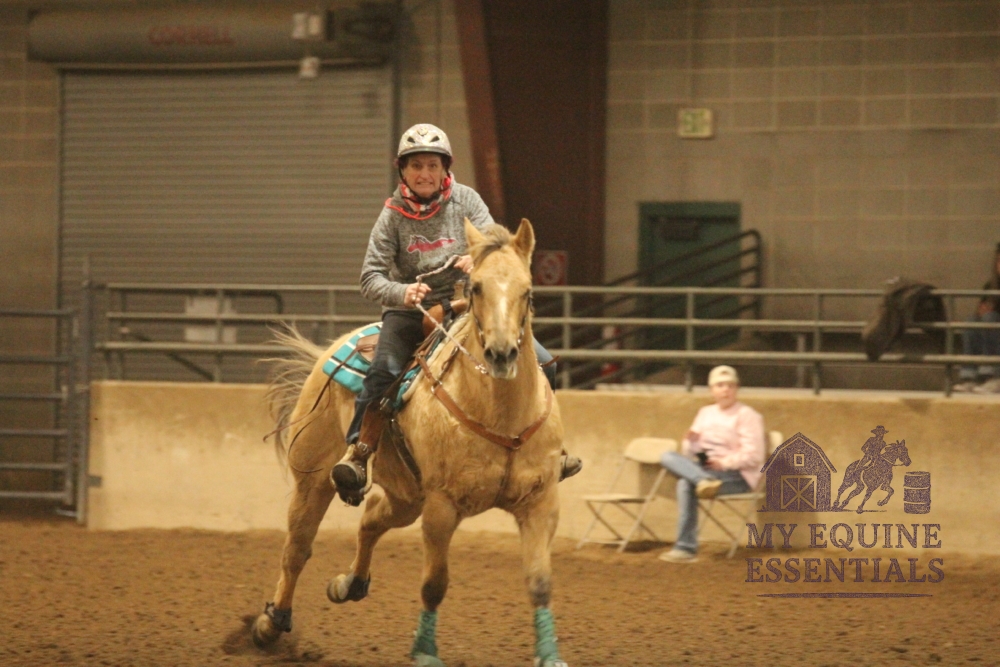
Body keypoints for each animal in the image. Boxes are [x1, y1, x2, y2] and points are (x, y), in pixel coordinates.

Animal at [251, 219, 569, 667]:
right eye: (476, 288)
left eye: (527, 290)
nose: (501, 354)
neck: (501, 415)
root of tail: (330, 350)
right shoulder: (441, 506)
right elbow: (434, 584)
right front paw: (425, 651)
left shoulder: (540, 502)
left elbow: (540, 582)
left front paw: (550, 655)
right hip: (314, 480)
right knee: (297, 549)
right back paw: (271, 623)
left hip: (406, 496)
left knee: (372, 517)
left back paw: (349, 584)